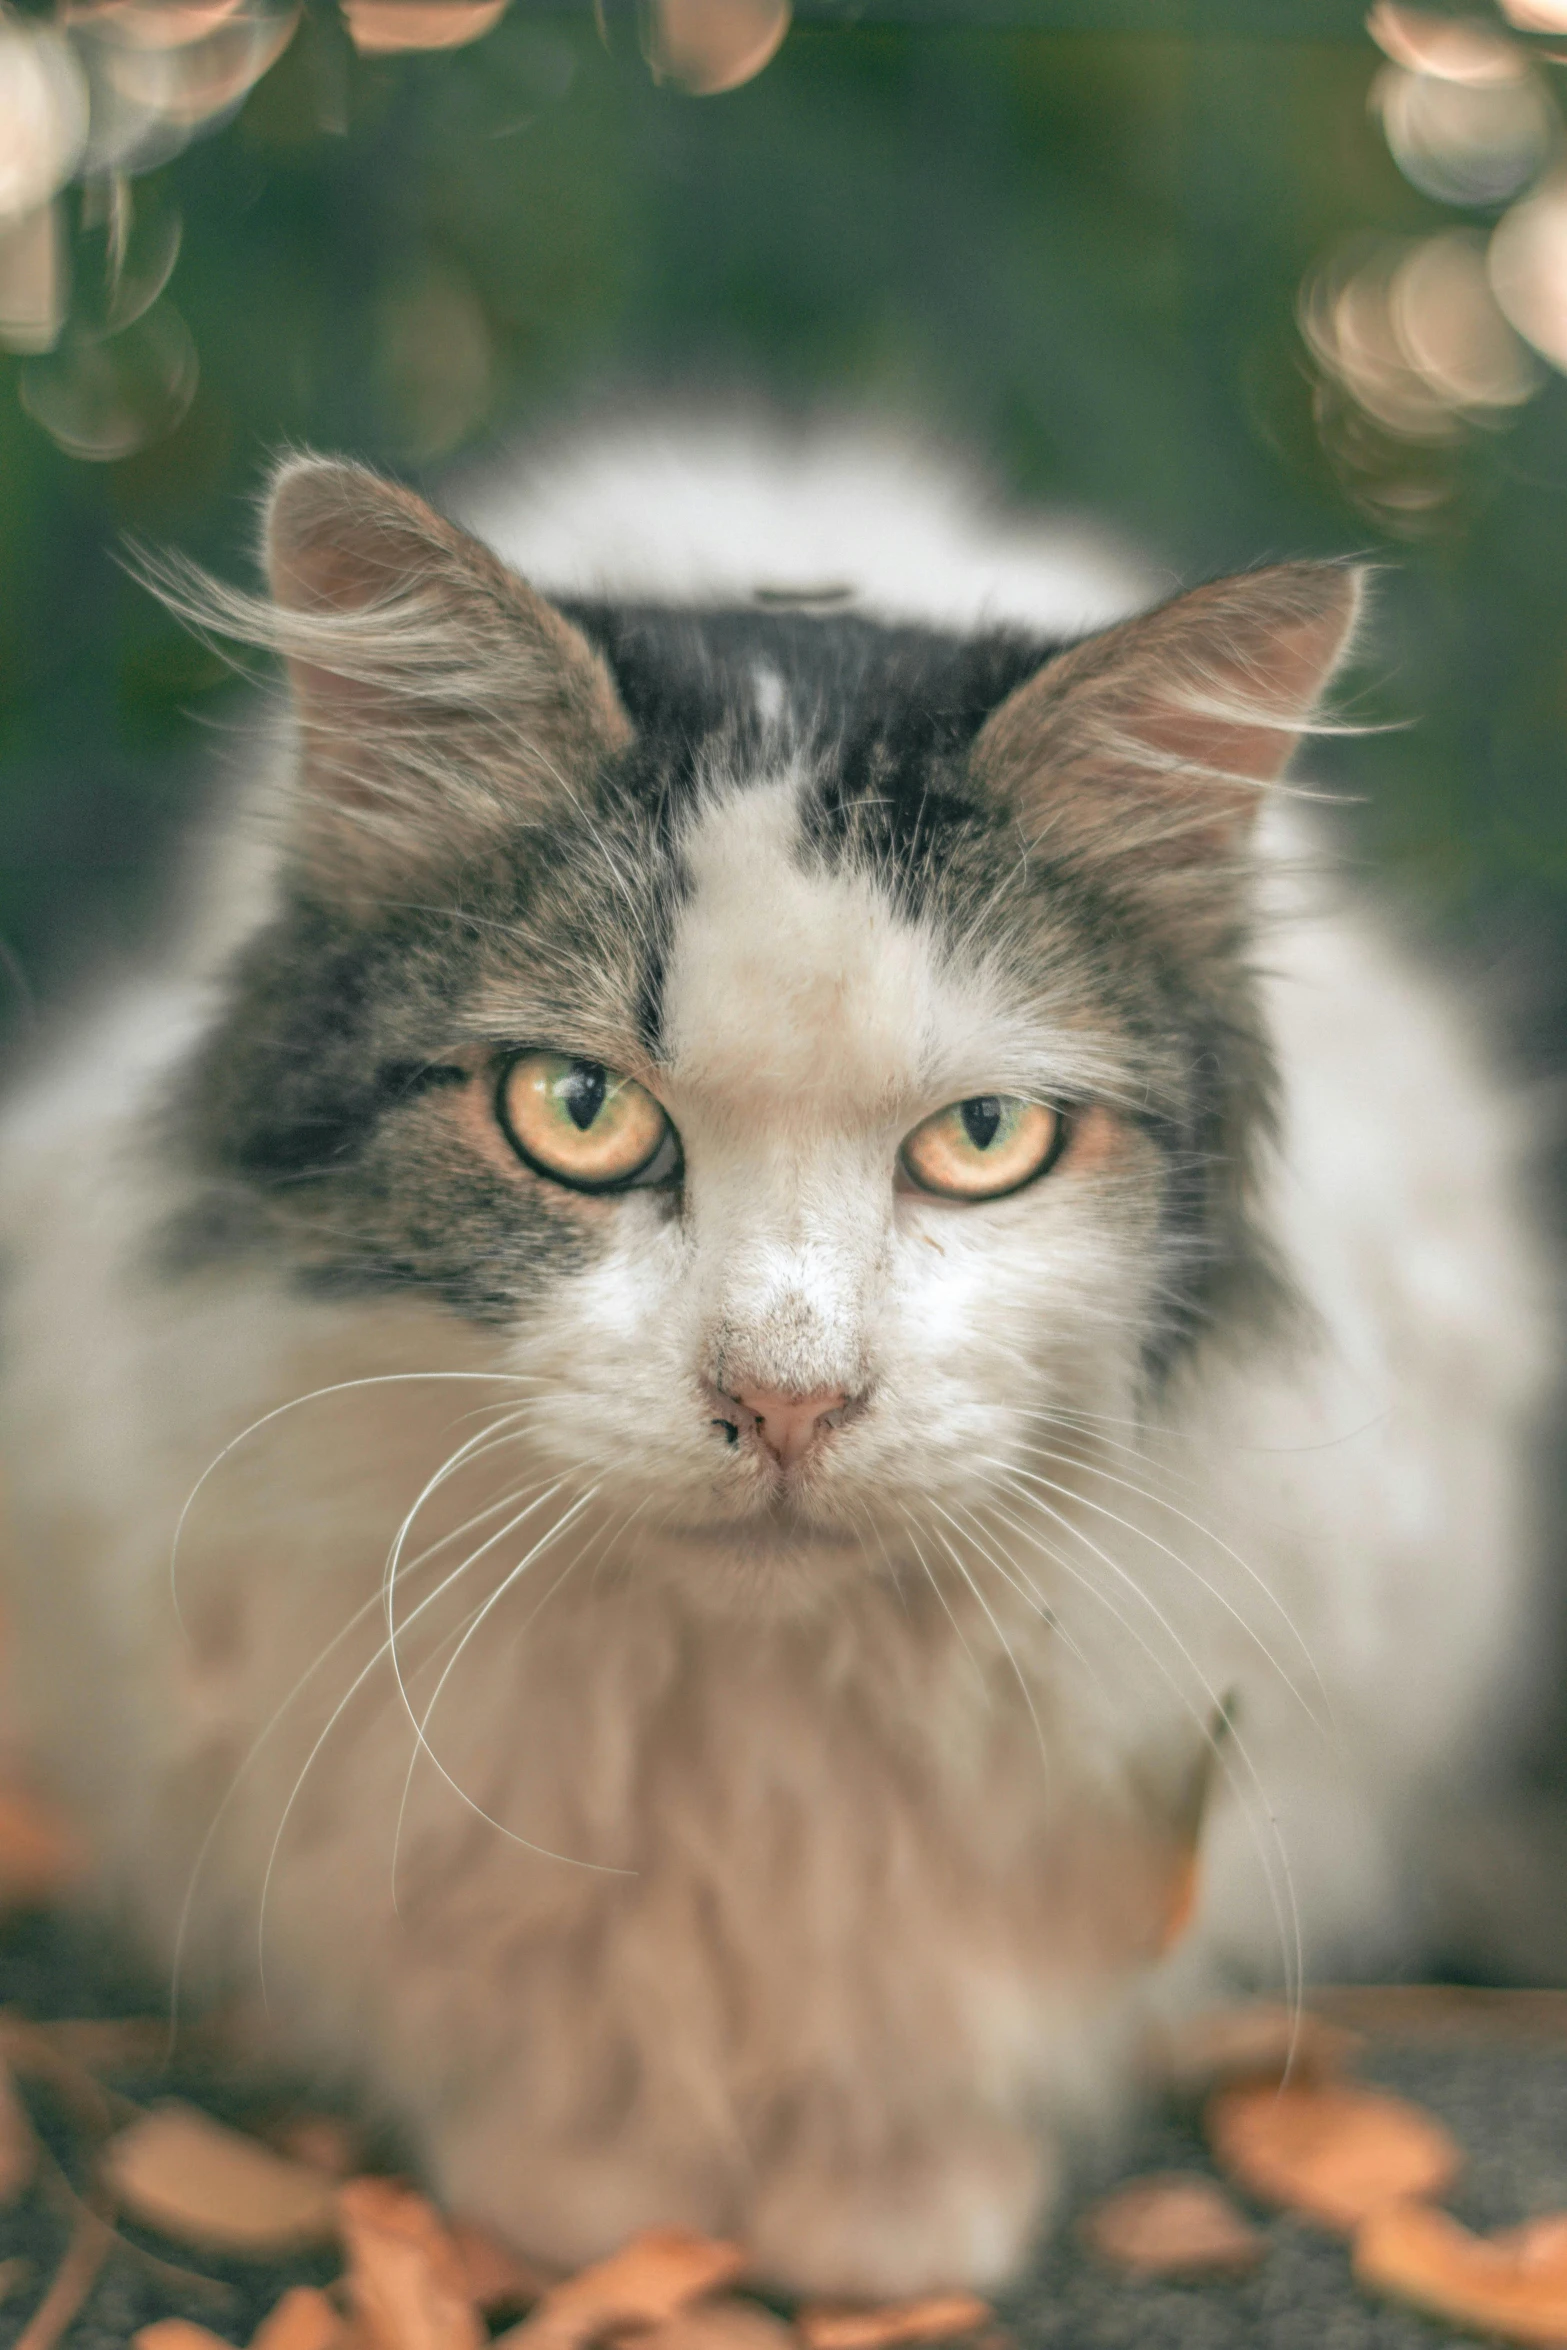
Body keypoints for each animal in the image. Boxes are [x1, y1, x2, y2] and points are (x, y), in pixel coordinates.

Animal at [0, 427, 1550, 2293]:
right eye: (575, 1111)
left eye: (981, 1138)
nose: (786, 1399)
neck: (729, 1705)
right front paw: (584, 2197)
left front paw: (892, 2220)